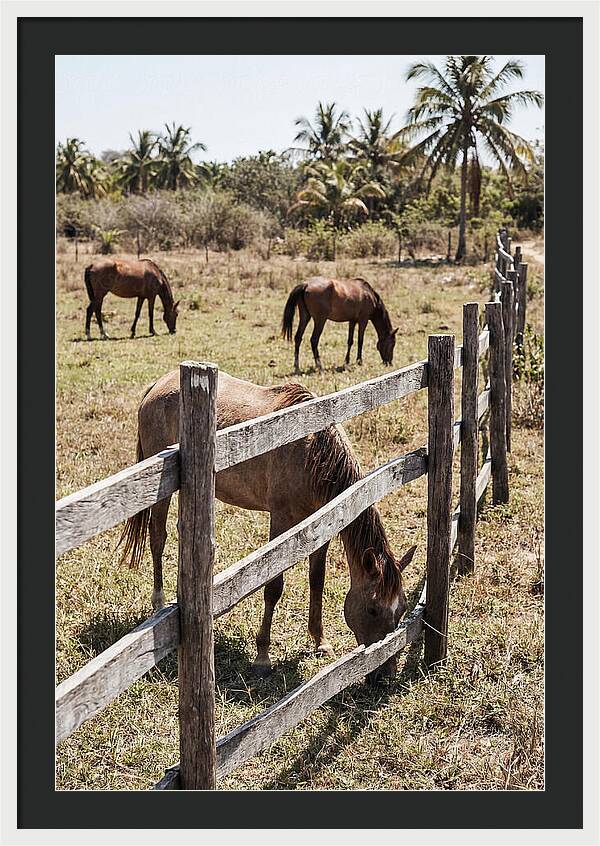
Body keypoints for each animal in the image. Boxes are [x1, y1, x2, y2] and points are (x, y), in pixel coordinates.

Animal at [119, 370, 416, 679]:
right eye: (372, 609)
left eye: (402, 610)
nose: (384, 674)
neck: (312, 452)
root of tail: (158, 385)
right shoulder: (281, 519)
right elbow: (273, 586)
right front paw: (262, 656)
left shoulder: (323, 522)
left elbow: (317, 580)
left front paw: (320, 641)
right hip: (160, 490)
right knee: (157, 538)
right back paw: (159, 603)